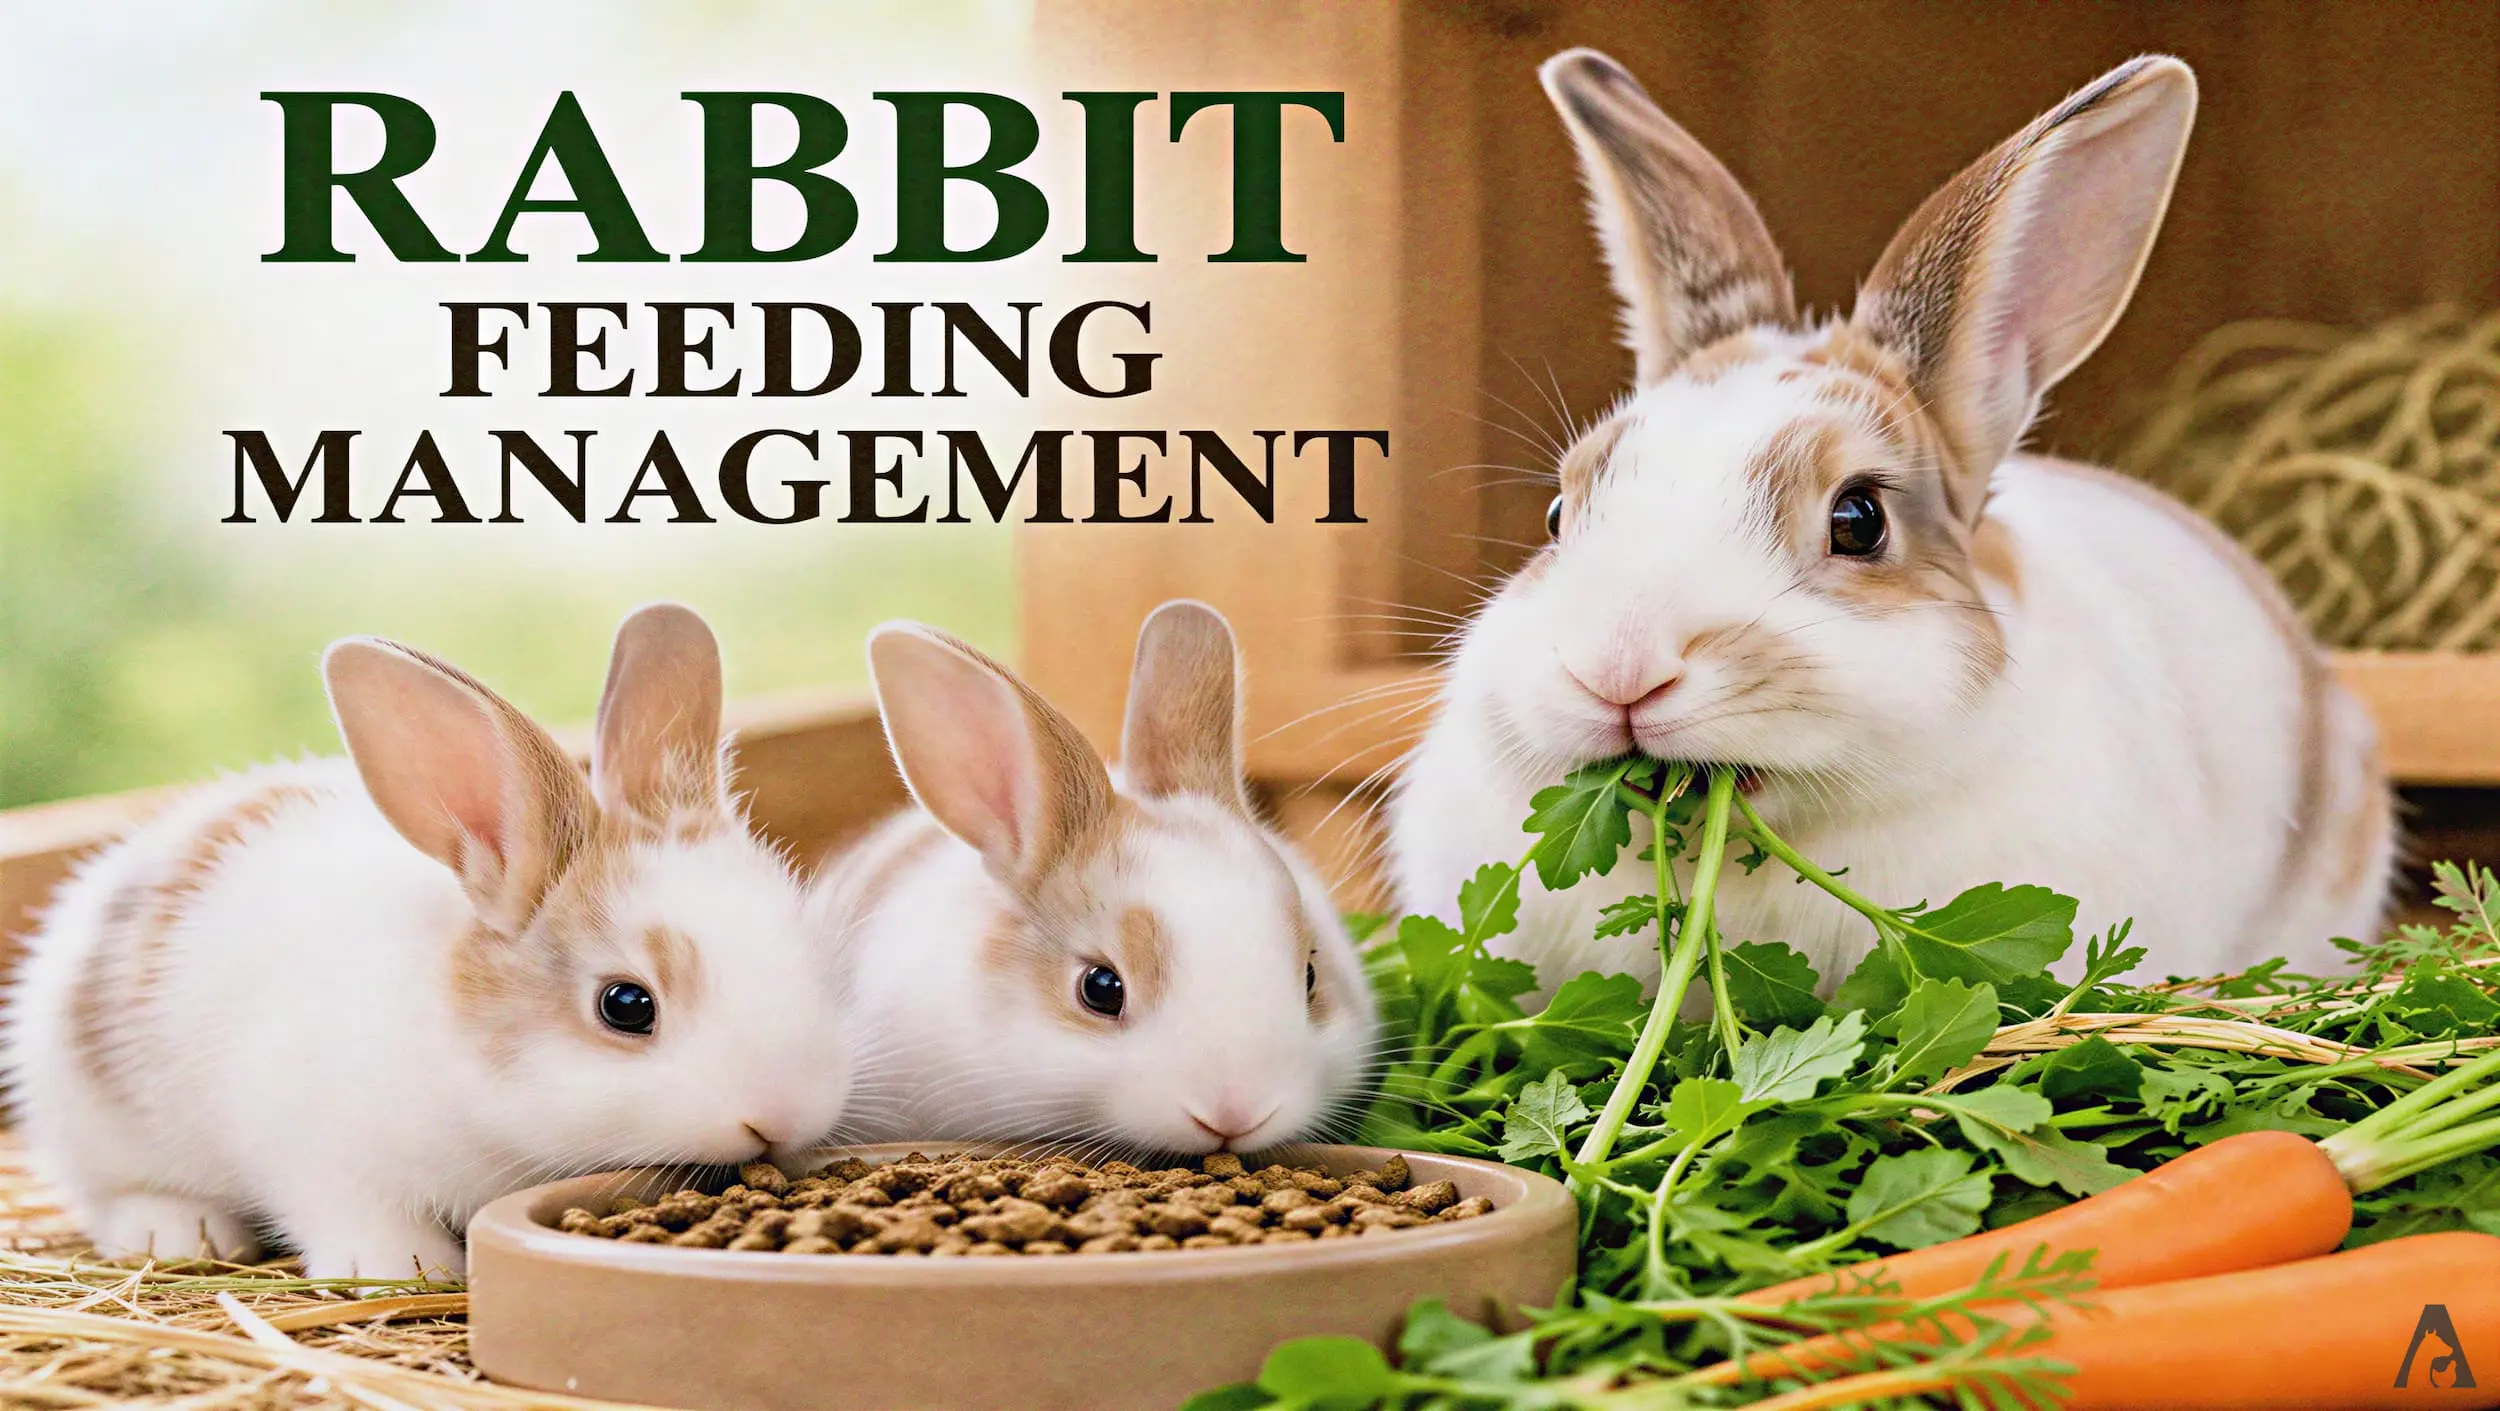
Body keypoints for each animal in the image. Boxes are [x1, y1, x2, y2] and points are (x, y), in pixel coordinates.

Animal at [0, 604, 857, 1279]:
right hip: (92, 1123)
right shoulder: (321, 1153)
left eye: (814, 953)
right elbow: (352, 1212)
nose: (785, 1114)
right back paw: (180, 1231)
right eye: (625, 1005)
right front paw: (404, 1268)